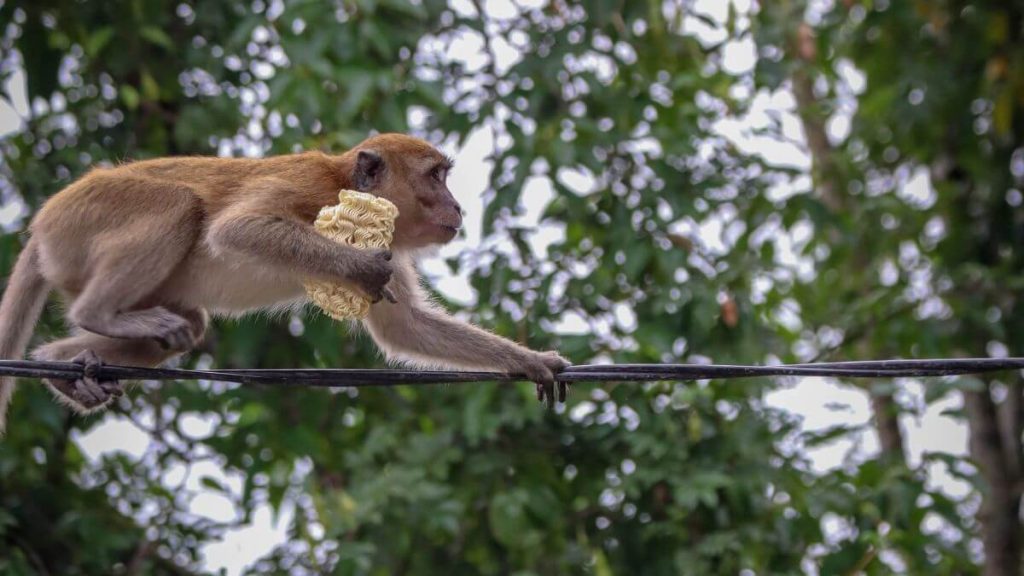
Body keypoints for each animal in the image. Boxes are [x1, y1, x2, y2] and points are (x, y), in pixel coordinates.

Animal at [0, 133, 573, 430]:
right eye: (436, 176)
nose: (457, 206)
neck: (344, 181)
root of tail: (42, 225)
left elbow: (406, 327)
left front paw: (532, 362)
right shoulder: (310, 188)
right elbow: (237, 229)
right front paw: (360, 268)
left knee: (189, 324)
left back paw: (62, 364)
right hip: (87, 220)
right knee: (179, 205)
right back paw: (95, 316)